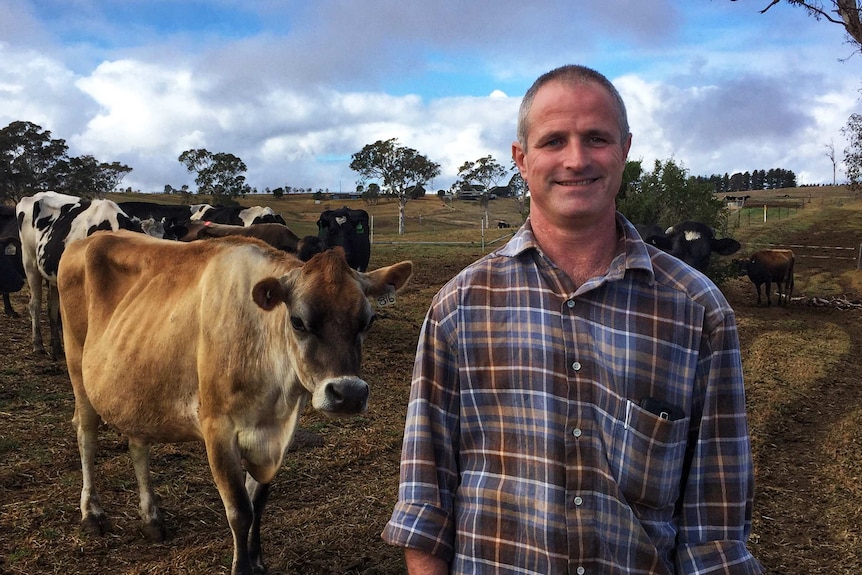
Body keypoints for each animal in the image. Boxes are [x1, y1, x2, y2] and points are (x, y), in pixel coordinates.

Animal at [58, 232, 416, 575]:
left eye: (368, 321)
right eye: (298, 321)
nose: (349, 393)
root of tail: (86, 240)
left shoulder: (278, 437)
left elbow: (258, 503)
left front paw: (257, 561)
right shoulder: (218, 430)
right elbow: (240, 510)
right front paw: (242, 566)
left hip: (137, 387)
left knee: (137, 445)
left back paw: (152, 518)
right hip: (78, 368)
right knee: (86, 435)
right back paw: (92, 513)